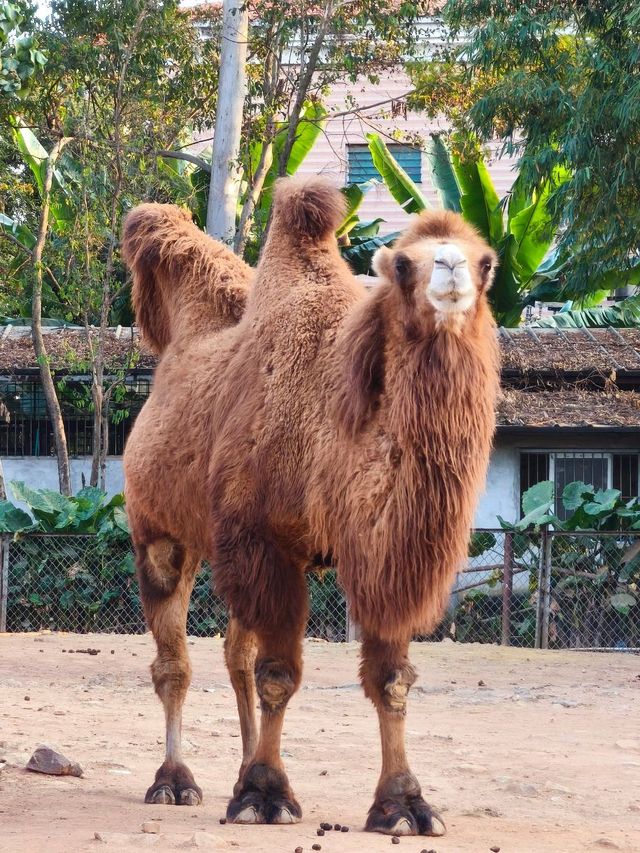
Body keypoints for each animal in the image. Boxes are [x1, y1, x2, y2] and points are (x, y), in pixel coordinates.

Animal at [120, 176, 500, 836]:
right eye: (403, 264)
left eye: (486, 263)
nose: (451, 270)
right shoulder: (266, 543)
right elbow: (279, 676)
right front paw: (266, 795)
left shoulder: (374, 556)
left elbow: (390, 679)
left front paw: (404, 804)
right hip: (162, 533)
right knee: (175, 665)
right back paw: (174, 782)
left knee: (235, 655)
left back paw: (236, 770)